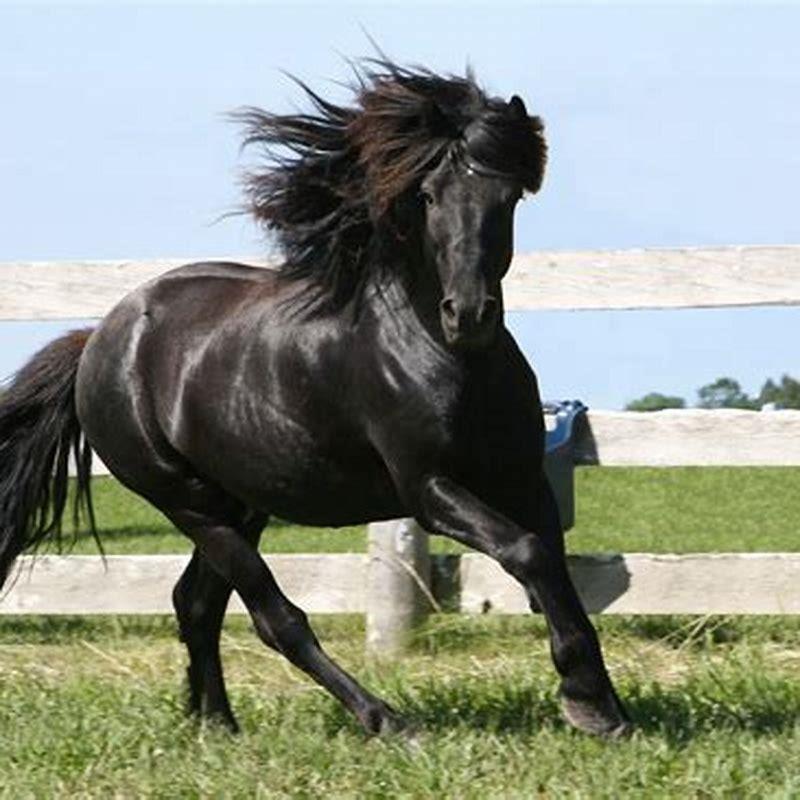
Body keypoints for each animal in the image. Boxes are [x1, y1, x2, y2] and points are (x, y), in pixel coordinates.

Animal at [0, 59, 630, 739]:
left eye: (507, 197)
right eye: (429, 196)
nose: (469, 315)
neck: (447, 359)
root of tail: (99, 341)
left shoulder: (522, 478)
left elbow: (555, 567)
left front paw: (600, 702)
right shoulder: (428, 489)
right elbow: (528, 552)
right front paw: (587, 701)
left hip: (240, 502)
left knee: (195, 603)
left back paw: (217, 725)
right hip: (187, 502)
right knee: (275, 619)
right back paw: (386, 721)